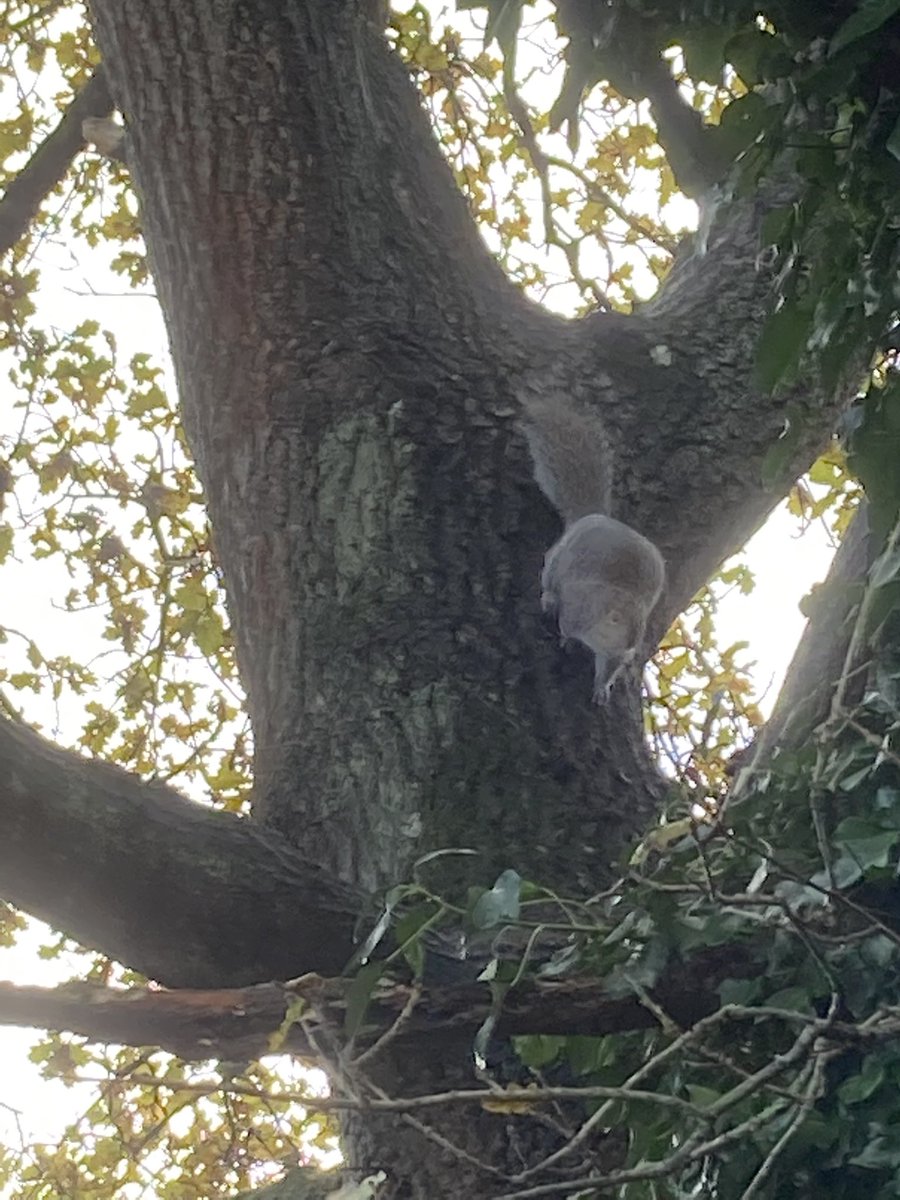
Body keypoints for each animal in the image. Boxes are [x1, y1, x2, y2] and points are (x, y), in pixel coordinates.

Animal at [520, 393, 665, 703]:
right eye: (618, 622)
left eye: (642, 633)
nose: (631, 652)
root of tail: (594, 517)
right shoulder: (579, 609)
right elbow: (567, 625)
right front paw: (566, 640)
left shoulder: (610, 655)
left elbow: (606, 668)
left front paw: (601, 688)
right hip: (557, 560)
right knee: (550, 576)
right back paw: (549, 599)